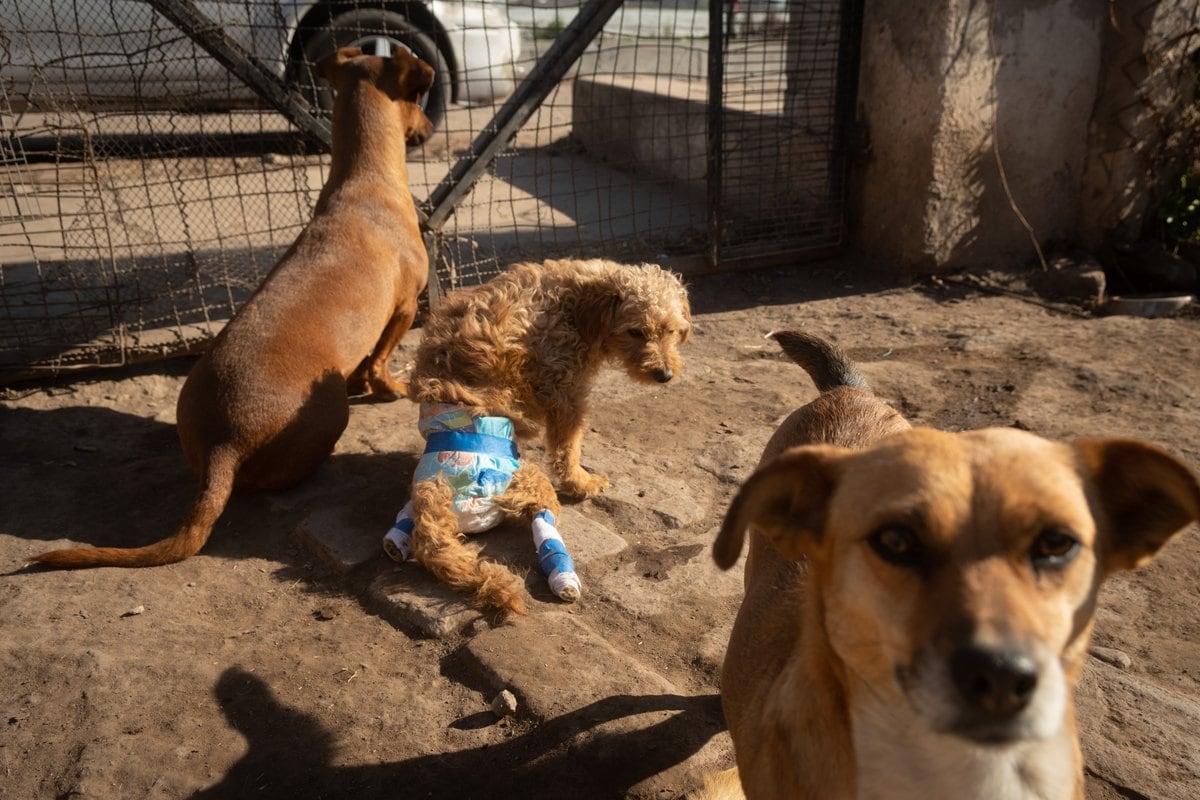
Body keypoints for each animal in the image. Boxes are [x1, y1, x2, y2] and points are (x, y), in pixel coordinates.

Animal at [29, 47, 436, 568]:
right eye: (419, 98)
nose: (430, 125)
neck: (364, 180)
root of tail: (222, 445)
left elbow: (367, 362)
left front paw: (367, 380)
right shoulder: (405, 308)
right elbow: (381, 362)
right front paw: (388, 388)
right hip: (330, 415)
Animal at [384, 260, 696, 618]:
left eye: (672, 330)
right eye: (636, 332)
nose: (665, 375)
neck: (577, 302)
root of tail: (436, 492)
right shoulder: (566, 393)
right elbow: (568, 447)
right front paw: (581, 481)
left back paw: (398, 540)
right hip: (532, 483)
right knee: (543, 522)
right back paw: (563, 575)